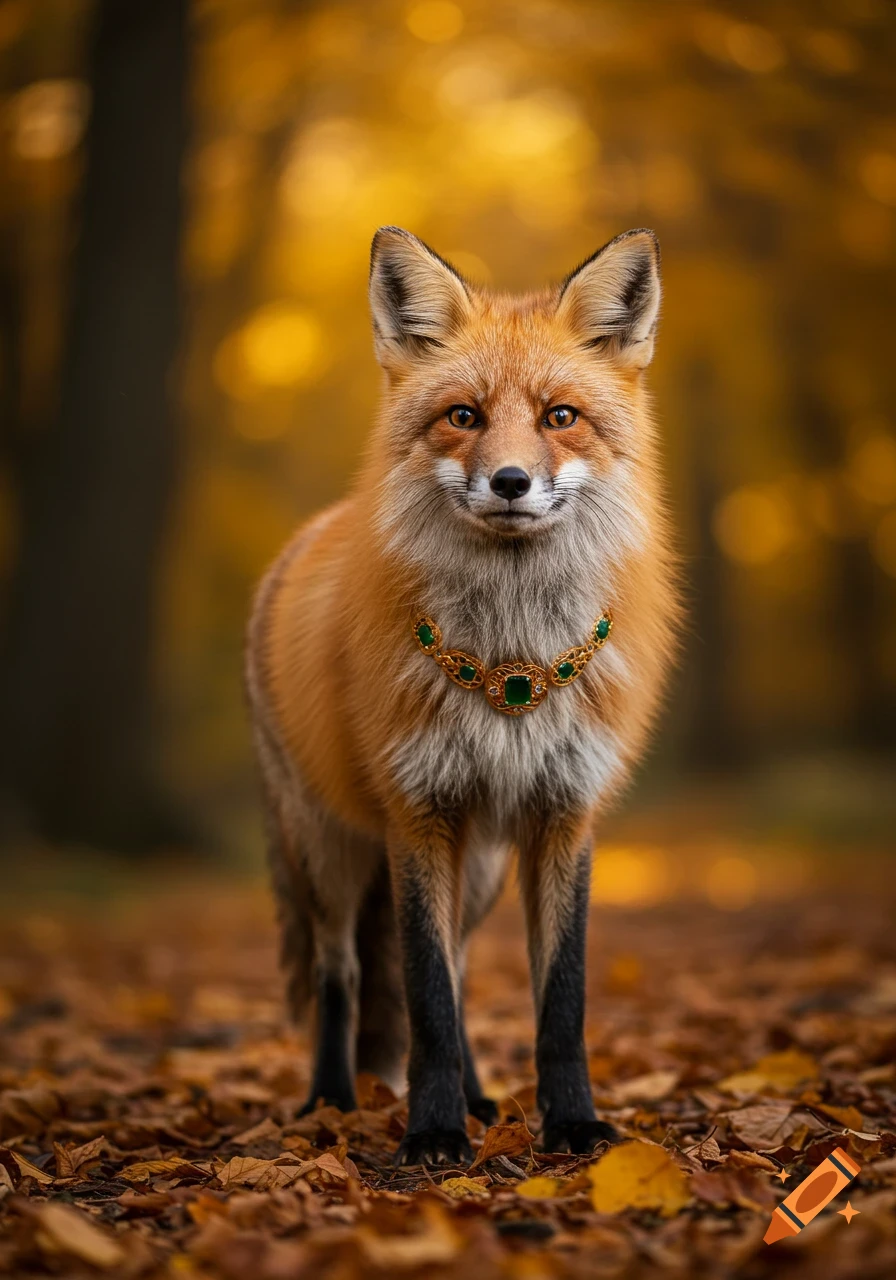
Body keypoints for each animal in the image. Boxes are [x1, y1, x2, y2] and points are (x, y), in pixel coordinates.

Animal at [245, 225, 681, 1166]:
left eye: (560, 416)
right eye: (464, 416)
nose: (511, 481)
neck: (509, 662)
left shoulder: (563, 816)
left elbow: (557, 1001)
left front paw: (572, 1123)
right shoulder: (418, 816)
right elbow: (426, 1000)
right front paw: (433, 1133)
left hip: (478, 869)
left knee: (460, 968)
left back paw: (483, 1100)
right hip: (332, 852)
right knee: (344, 975)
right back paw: (332, 1100)